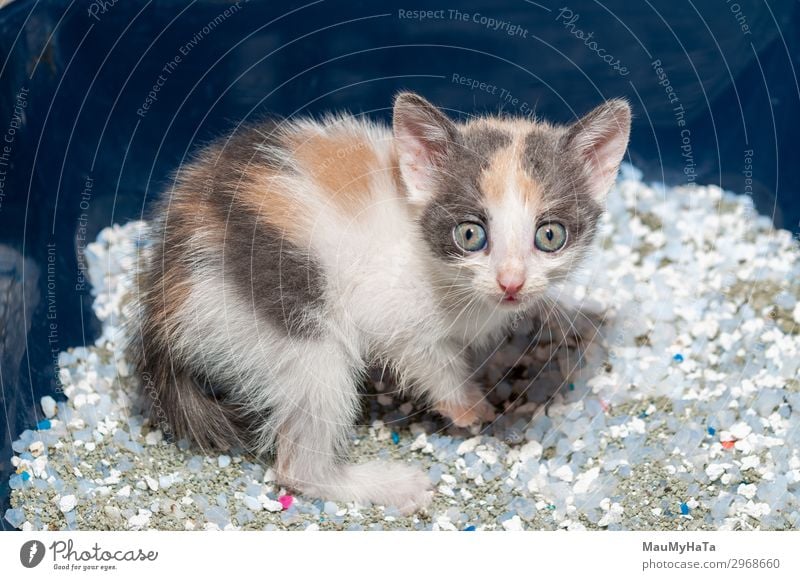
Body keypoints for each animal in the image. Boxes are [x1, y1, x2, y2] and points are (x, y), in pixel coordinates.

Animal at [128, 90, 632, 512]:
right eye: (470, 235)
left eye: (550, 236)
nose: (511, 283)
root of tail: (163, 298)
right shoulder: (390, 313)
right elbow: (427, 358)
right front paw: (470, 407)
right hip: (297, 324)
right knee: (297, 461)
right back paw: (386, 485)